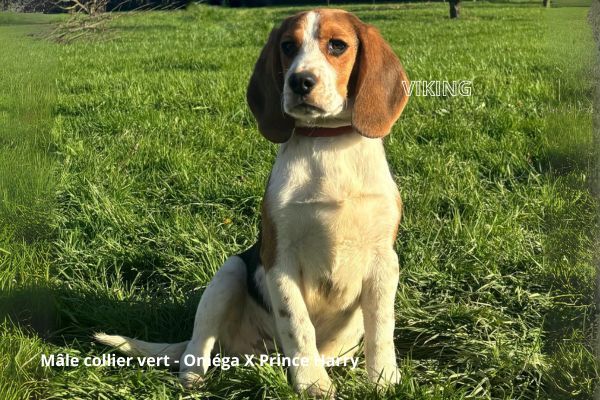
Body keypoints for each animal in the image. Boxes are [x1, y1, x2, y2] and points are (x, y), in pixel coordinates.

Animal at [96, 8, 410, 396]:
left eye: (337, 45)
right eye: (288, 46)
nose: (300, 82)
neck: (327, 143)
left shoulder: (384, 260)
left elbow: (381, 326)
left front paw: (383, 379)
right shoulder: (279, 257)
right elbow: (297, 324)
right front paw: (311, 382)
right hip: (229, 272)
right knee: (198, 344)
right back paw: (193, 377)